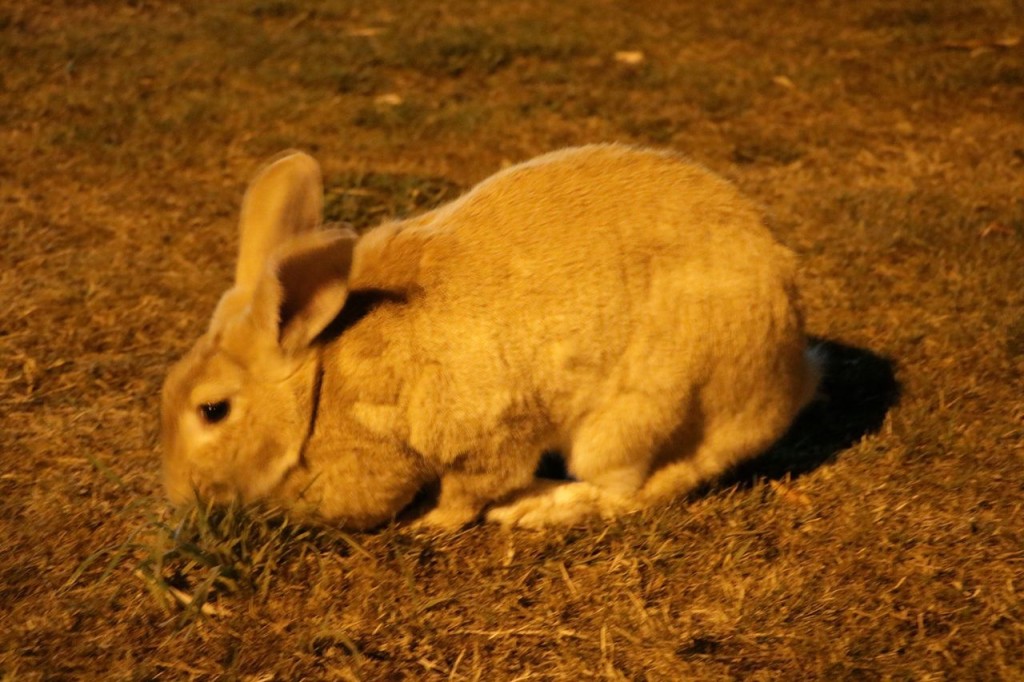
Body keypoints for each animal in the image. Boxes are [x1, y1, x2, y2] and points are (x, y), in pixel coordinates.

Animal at [161, 143, 822, 530]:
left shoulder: (484, 433)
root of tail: (789, 380)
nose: (177, 496)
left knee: (630, 491)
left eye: (213, 410)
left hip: (636, 417)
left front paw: (429, 524)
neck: (317, 391)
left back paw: (534, 509)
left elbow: (466, 492)